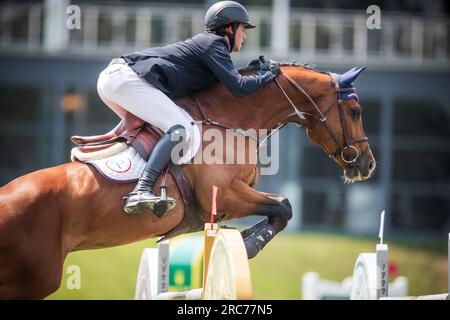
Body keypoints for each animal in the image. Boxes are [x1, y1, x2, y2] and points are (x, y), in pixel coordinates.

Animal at [0, 63, 376, 300]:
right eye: (355, 111)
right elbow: (283, 207)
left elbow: (277, 211)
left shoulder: (230, 202)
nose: (367, 165)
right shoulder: (225, 195)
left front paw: (245, 239)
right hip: (33, 280)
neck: (231, 121)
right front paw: (249, 245)